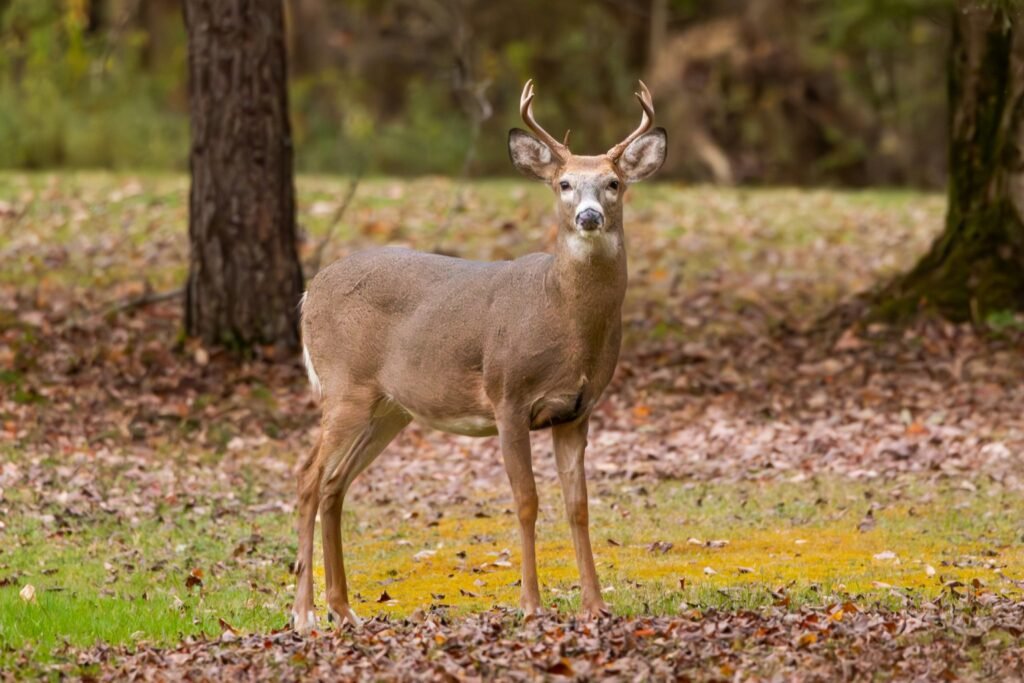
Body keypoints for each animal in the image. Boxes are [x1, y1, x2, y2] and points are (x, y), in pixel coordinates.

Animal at [291, 80, 666, 631]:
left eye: (614, 183)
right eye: (564, 184)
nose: (589, 216)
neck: (561, 314)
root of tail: (308, 293)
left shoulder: (579, 411)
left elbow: (578, 505)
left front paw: (595, 605)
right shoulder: (509, 395)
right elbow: (526, 501)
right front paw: (531, 604)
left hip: (389, 408)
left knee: (334, 484)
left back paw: (344, 609)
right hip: (344, 387)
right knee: (308, 478)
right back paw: (304, 614)